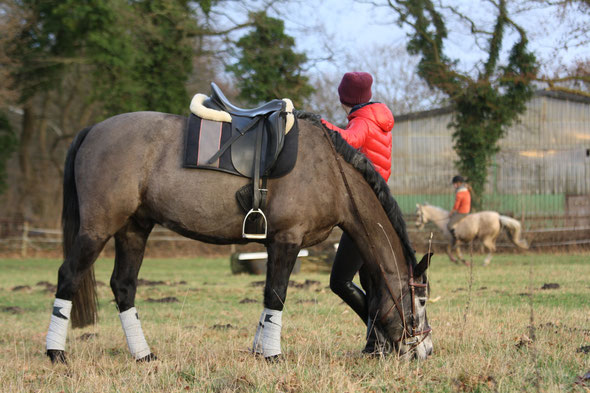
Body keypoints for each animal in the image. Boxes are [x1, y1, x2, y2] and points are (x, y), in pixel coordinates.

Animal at [45, 109, 434, 362]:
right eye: (422, 300)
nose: (425, 350)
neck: (332, 173)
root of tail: (93, 130)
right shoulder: (286, 241)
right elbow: (276, 296)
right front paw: (273, 355)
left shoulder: (275, 246)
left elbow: (267, 298)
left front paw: (259, 350)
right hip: (97, 228)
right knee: (69, 276)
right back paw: (55, 353)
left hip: (133, 229)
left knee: (123, 286)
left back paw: (143, 355)